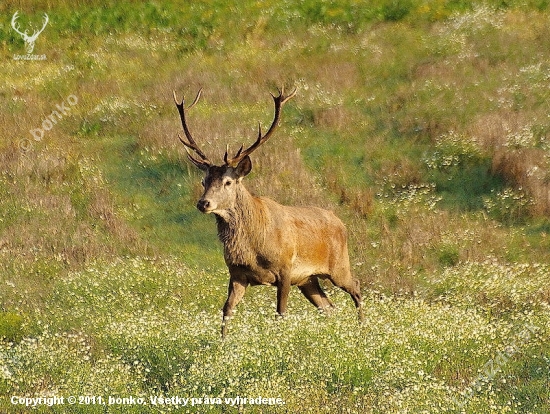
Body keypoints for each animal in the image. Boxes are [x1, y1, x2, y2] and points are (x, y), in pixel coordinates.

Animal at [177, 87, 364, 336]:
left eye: (228, 182)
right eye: (203, 180)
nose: (203, 203)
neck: (254, 245)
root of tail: (341, 223)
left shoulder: (285, 269)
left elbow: (280, 312)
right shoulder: (237, 274)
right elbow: (227, 310)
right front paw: (222, 341)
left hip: (338, 266)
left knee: (356, 287)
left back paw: (363, 328)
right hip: (308, 279)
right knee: (328, 306)